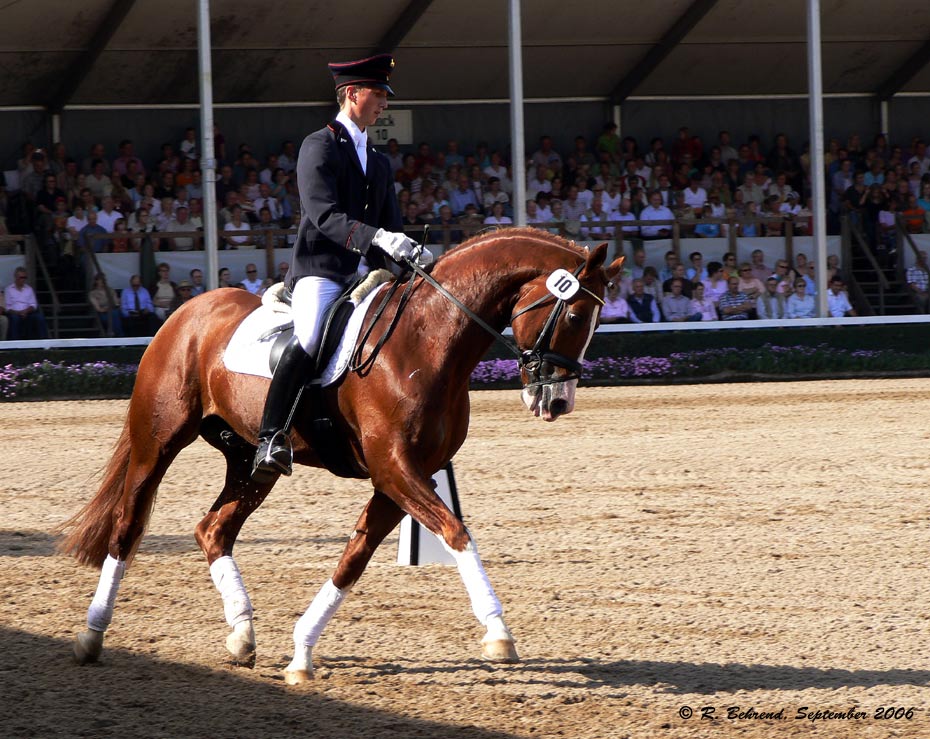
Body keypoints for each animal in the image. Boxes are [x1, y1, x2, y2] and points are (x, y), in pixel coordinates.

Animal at [61, 228, 620, 684]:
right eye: (573, 313)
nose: (557, 402)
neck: (426, 339)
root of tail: (186, 311)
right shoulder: (395, 470)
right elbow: (456, 532)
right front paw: (498, 631)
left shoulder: (403, 479)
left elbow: (353, 560)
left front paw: (302, 653)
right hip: (157, 444)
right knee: (128, 528)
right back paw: (91, 633)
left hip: (251, 464)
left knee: (213, 529)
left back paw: (242, 636)